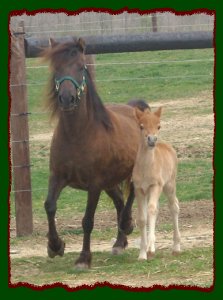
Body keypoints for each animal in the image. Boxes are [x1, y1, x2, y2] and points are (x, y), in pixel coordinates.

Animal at [42, 37, 149, 270]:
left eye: (81, 66)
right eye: (56, 68)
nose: (66, 98)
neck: (77, 134)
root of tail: (133, 108)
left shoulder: (94, 185)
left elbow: (87, 220)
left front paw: (83, 258)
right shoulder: (57, 177)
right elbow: (49, 206)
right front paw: (55, 246)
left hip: (128, 174)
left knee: (130, 196)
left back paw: (126, 224)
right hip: (109, 182)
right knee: (119, 200)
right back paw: (119, 242)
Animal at [132, 107, 181, 260]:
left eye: (159, 126)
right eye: (141, 126)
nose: (152, 140)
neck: (146, 168)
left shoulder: (156, 186)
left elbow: (152, 210)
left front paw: (150, 250)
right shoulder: (139, 189)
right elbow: (142, 218)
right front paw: (142, 253)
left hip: (169, 185)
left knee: (174, 206)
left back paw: (176, 247)